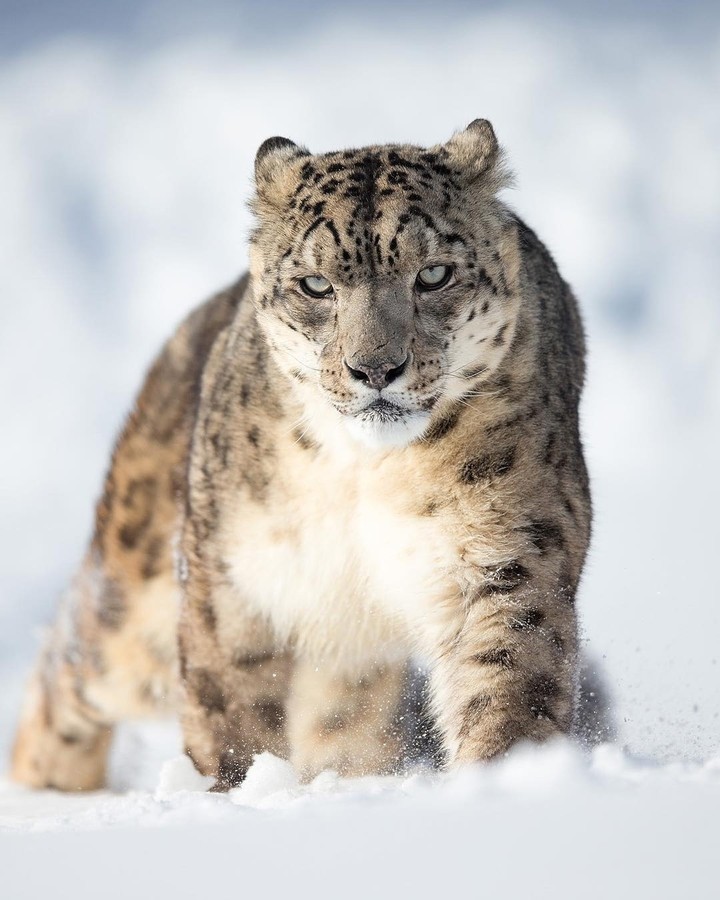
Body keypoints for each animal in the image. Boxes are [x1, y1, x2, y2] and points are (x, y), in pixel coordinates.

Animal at [11, 119, 591, 791]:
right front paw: (234, 790)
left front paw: (504, 780)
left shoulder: (508, 554)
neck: (366, 469)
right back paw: (47, 786)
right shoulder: (232, 582)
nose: (375, 369)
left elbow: (508, 682)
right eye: (316, 285)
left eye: (434, 275)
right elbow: (230, 709)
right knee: (67, 667)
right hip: (136, 617)